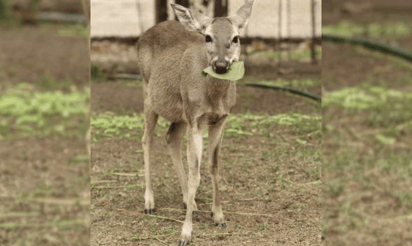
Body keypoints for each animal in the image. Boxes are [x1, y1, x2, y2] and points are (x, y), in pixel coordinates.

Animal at [137, 1, 254, 244]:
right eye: (207, 37)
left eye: (236, 37)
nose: (221, 64)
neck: (214, 98)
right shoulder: (196, 120)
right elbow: (195, 174)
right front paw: (185, 233)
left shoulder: (221, 119)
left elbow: (213, 166)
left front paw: (219, 216)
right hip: (148, 92)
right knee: (146, 138)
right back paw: (149, 202)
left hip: (182, 112)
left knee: (171, 137)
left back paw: (189, 202)